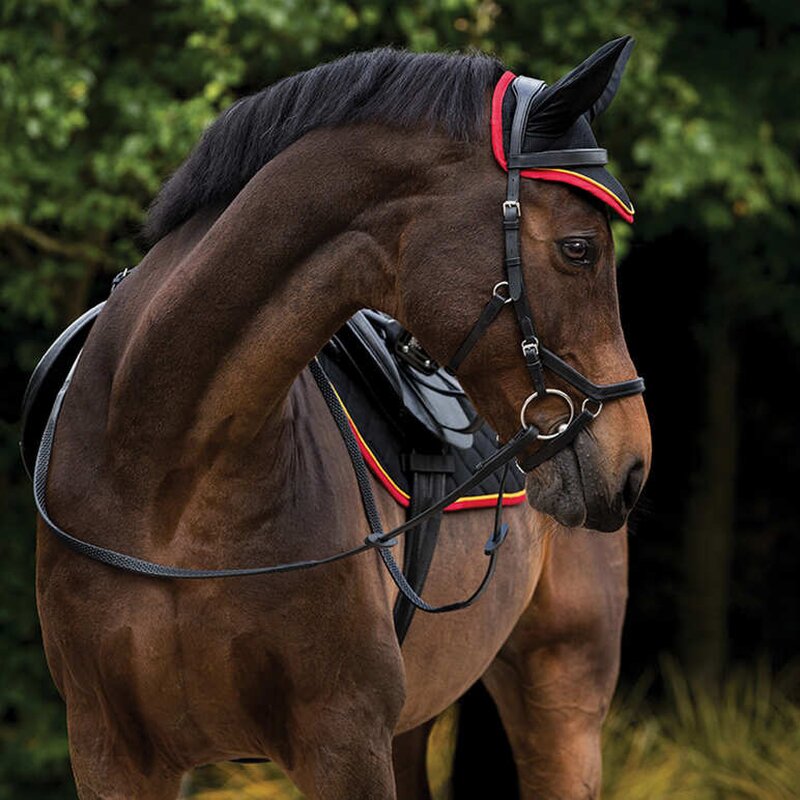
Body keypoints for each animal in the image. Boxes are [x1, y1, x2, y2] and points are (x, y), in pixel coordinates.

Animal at [34, 41, 651, 799]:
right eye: (578, 248)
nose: (632, 463)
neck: (166, 478)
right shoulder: (110, 751)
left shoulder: (345, 740)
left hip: (563, 698)